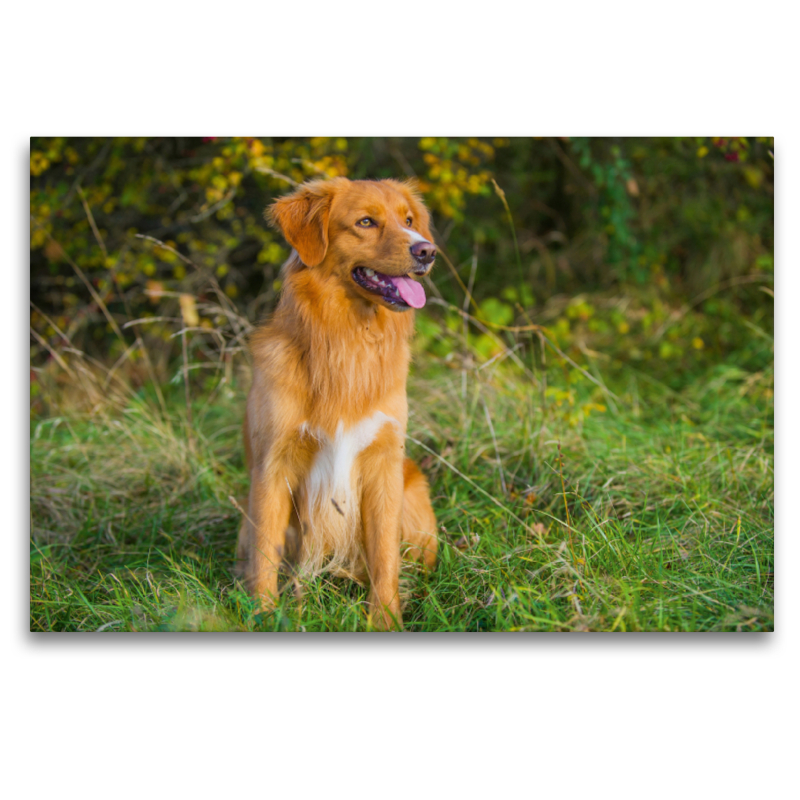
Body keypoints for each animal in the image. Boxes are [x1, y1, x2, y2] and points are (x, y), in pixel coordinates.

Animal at [236, 178, 438, 628]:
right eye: (365, 222)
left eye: (408, 220)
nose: (428, 251)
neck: (346, 339)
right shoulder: (273, 466)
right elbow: (265, 554)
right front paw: (264, 615)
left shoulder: (384, 463)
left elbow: (384, 556)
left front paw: (385, 620)